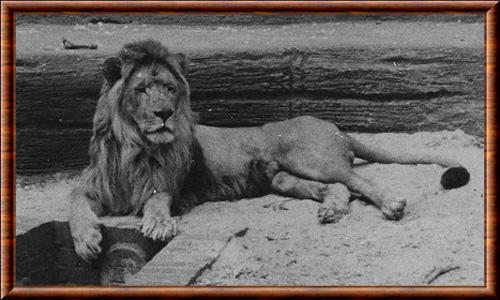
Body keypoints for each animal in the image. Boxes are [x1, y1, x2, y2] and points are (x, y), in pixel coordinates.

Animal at [68, 39, 470, 260]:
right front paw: (87, 241)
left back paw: (391, 204)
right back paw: (331, 210)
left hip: (310, 159)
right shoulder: (95, 186)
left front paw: (158, 223)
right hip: (283, 178)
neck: (133, 147)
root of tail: (335, 127)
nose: (164, 113)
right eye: (141, 90)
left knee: (358, 181)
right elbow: (75, 203)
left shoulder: (170, 186)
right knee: (341, 188)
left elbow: (155, 200)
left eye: (169, 88)